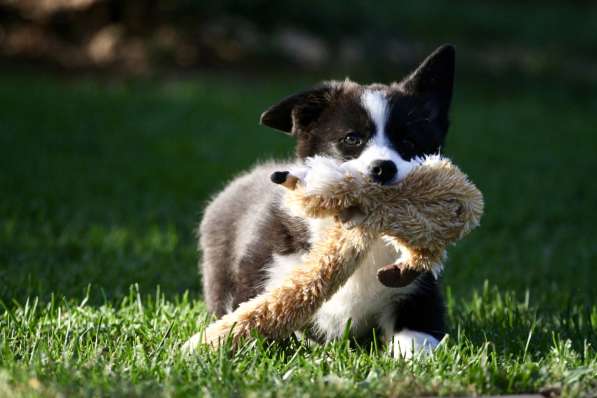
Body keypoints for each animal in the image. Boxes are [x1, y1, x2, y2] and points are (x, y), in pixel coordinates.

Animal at [194, 44, 452, 358]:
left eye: (409, 142)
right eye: (351, 139)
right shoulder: (262, 271)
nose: (383, 169)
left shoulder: (420, 290)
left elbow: (418, 337)